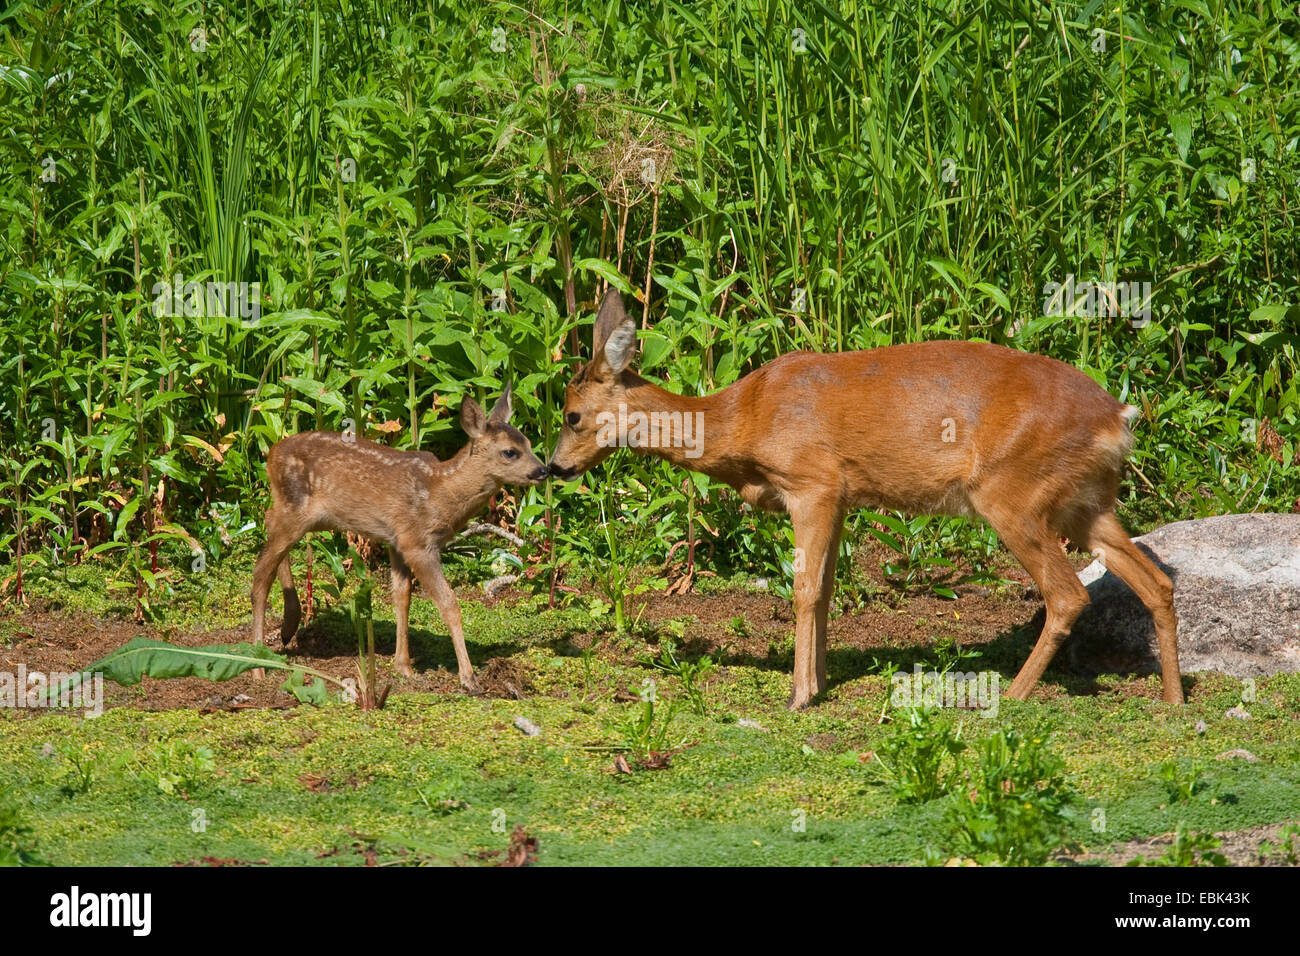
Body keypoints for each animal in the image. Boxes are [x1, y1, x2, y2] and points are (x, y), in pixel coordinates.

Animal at [249, 385, 548, 691]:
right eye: (510, 452)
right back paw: (258, 665)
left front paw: (403, 666)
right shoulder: (418, 543)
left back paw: (288, 626)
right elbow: (449, 604)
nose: (544, 470)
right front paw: (469, 678)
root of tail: (271, 454)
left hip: (298, 513)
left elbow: (402, 597)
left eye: (528, 443)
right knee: (260, 573)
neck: (440, 494)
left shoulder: (397, 541)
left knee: (268, 525)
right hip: (297, 510)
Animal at [543, 291, 1185, 712]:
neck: (741, 420)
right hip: (1087, 503)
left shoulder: (813, 483)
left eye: (571, 414)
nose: (554, 467)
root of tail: (1117, 418)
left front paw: (800, 696)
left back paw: (1012, 695)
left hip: (1013, 496)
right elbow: (826, 591)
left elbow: (803, 591)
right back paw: (1175, 701)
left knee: (1069, 592)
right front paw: (822, 681)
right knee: (1156, 581)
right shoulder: (845, 497)